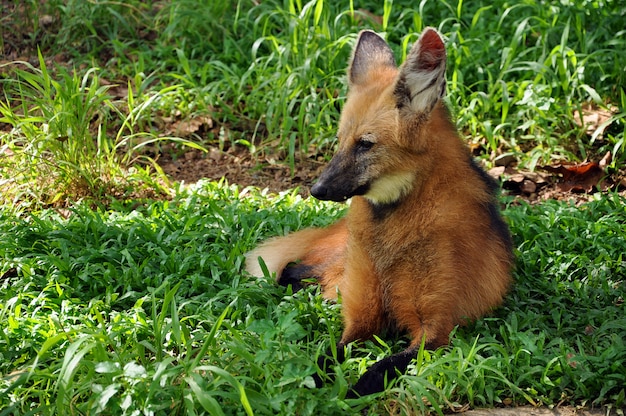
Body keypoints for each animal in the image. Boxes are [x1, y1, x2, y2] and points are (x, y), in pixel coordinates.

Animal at [244, 26, 512, 396]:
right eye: (340, 141)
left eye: (365, 144)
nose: (317, 189)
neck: (392, 227)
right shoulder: (363, 317)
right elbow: (330, 352)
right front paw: (315, 380)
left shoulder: (435, 331)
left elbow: (379, 369)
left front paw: (348, 393)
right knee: (290, 270)